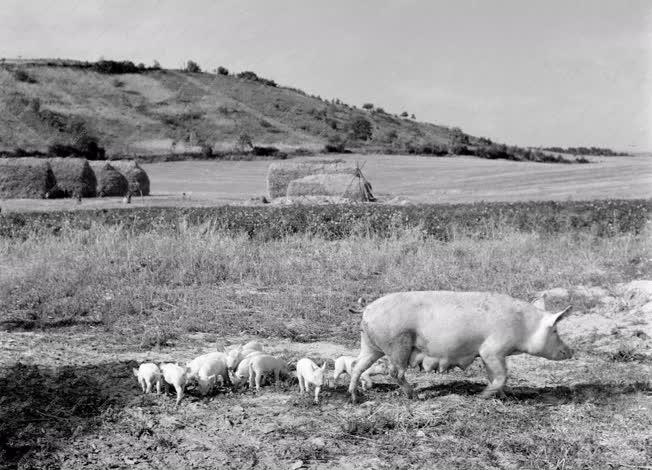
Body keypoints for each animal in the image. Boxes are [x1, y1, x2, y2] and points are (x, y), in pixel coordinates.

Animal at [346, 290, 572, 404]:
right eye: (555, 330)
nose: (571, 351)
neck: (524, 326)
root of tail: (366, 308)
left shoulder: (489, 355)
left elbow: (494, 376)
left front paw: (505, 397)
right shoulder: (492, 349)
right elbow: (501, 376)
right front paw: (482, 396)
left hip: (370, 344)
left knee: (358, 365)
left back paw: (354, 397)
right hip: (397, 345)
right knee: (395, 373)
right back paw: (415, 397)